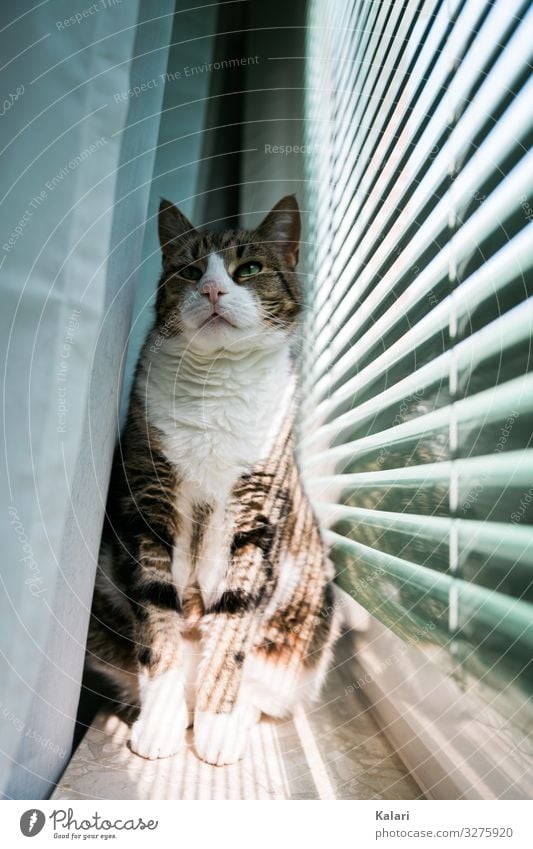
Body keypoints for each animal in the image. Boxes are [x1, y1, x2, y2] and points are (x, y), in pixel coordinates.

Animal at [85, 195, 338, 764]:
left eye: (250, 269)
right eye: (190, 270)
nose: (212, 290)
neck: (216, 385)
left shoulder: (257, 519)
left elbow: (233, 625)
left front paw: (217, 728)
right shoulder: (149, 505)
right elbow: (157, 621)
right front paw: (160, 724)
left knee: (264, 690)